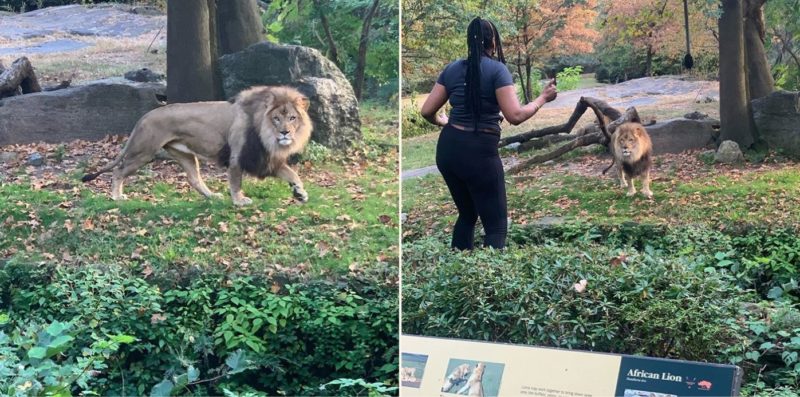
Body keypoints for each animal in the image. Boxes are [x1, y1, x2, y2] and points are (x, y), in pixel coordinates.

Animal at [80, 85, 312, 206]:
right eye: (276, 118)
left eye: (292, 118)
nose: (285, 132)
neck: (266, 135)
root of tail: (144, 116)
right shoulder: (238, 157)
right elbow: (236, 182)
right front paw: (239, 201)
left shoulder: (265, 159)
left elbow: (292, 174)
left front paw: (300, 193)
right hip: (143, 152)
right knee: (118, 171)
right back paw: (117, 196)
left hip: (185, 155)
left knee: (194, 179)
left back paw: (212, 196)